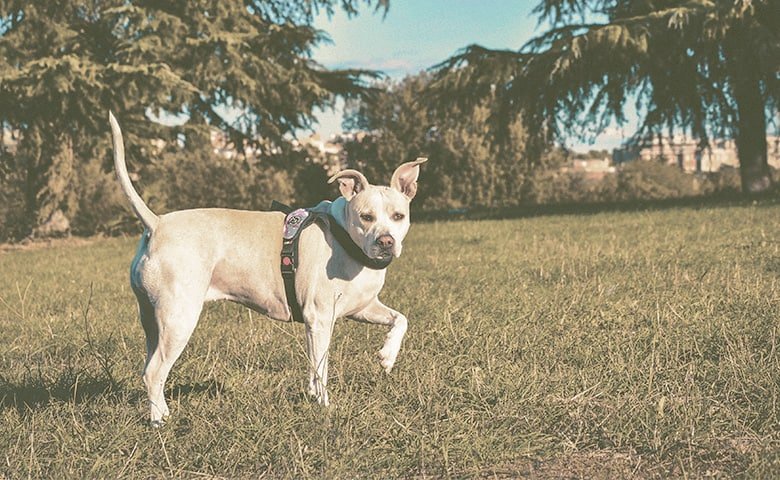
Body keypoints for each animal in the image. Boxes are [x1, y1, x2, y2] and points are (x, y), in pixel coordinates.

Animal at [108, 111, 426, 424]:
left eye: (398, 216)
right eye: (366, 216)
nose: (386, 242)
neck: (344, 235)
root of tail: (157, 223)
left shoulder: (361, 308)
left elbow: (400, 319)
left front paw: (387, 355)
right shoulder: (319, 318)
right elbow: (321, 368)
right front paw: (324, 406)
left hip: (153, 321)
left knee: (150, 366)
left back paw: (161, 411)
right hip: (179, 318)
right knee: (154, 372)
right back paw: (159, 421)